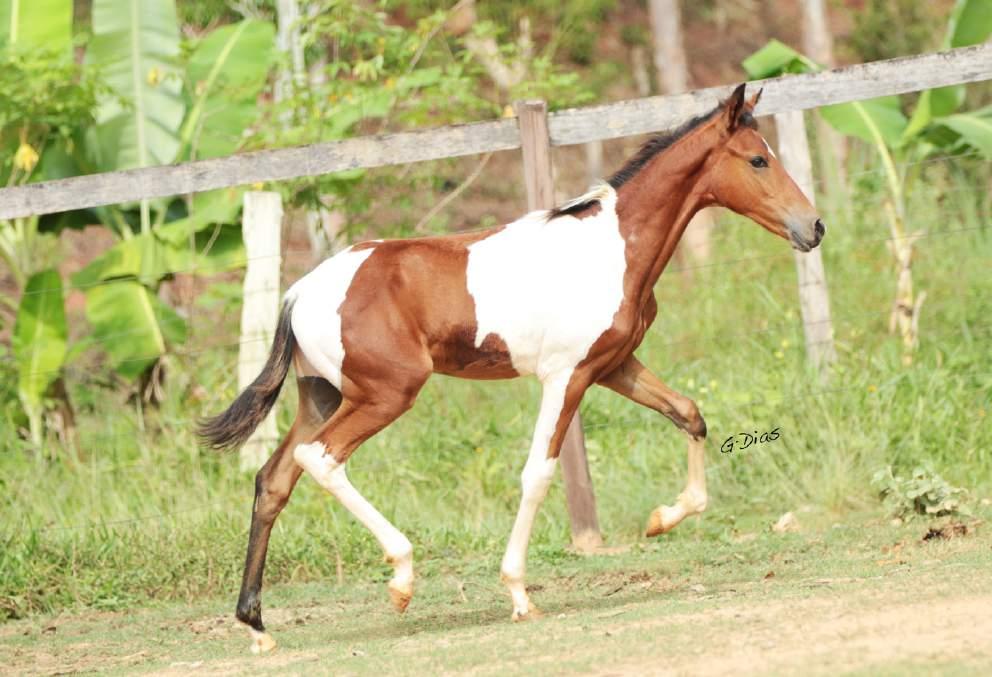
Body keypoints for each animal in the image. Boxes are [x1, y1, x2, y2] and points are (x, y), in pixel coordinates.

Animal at [200, 83, 820, 648]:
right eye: (758, 158)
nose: (813, 227)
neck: (610, 250)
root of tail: (297, 293)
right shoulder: (566, 376)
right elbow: (537, 474)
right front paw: (519, 593)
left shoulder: (614, 365)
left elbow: (689, 414)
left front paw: (662, 518)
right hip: (386, 394)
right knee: (320, 459)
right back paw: (400, 578)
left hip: (323, 394)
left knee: (275, 478)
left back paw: (256, 626)